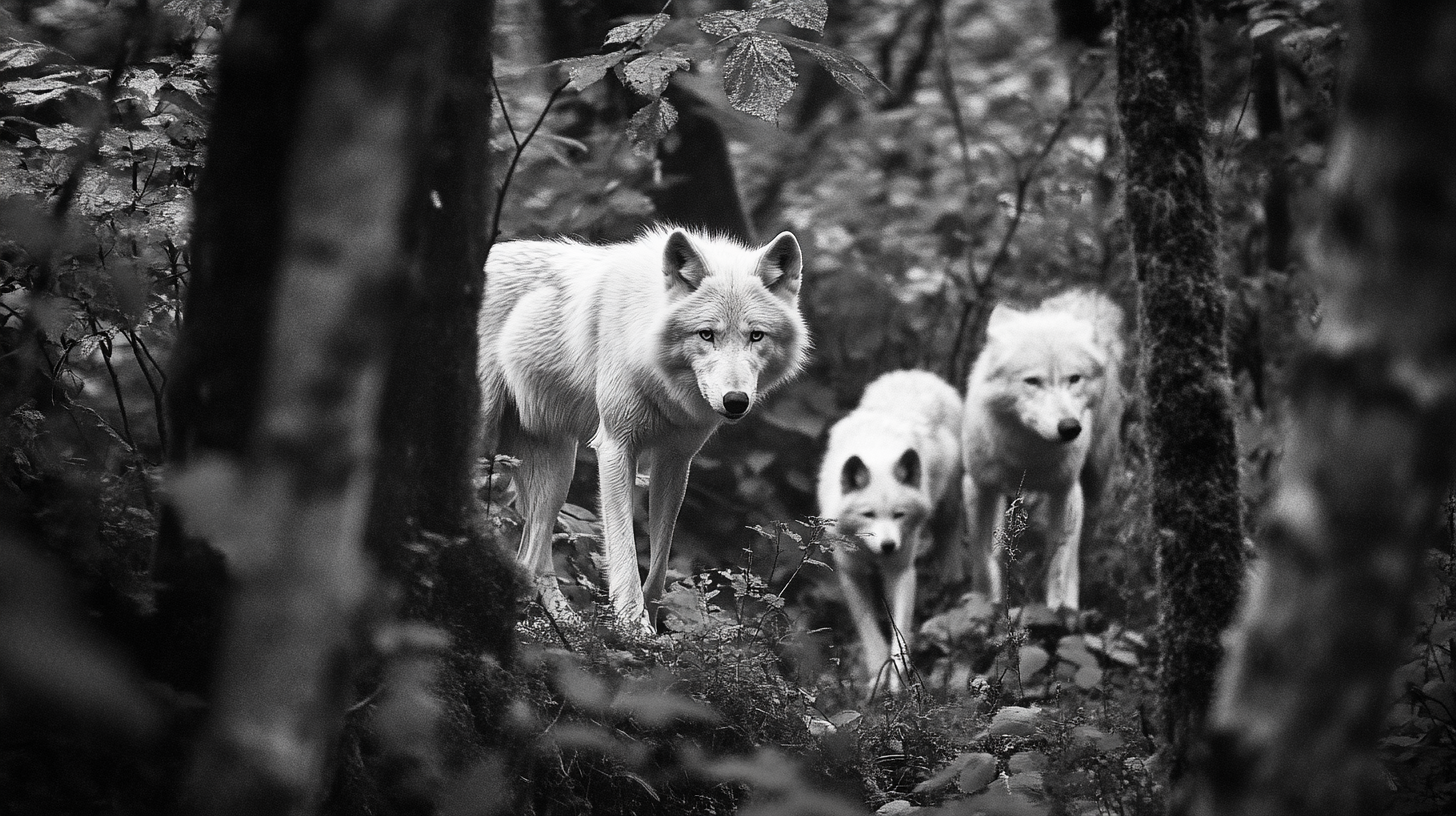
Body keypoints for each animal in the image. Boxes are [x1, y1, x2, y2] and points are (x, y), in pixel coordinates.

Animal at [483, 224, 815, 632]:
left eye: (756, 335)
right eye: (707, 334)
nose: (735, 401)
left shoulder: (675, 460)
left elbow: (659, 561)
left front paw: (653, 628)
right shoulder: (615, 448)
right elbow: (624, 548)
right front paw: (633, 624)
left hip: (557, 471)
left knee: (531, 556)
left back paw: (560, 622)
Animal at [821, 371, 966, 693]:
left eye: (899, 514)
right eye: (868, 515)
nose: (888, 546)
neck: (878, 451)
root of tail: (918, 374)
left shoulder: (900, 571)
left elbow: (899, 632)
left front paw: (898, 680)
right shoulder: (851, 573)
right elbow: (869, 630)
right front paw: (877, 677)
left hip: (948, 506)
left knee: (950, 537)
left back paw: (951, 583)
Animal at [966, 289, 1124, 609]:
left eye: (1074, 378)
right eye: (1032, 381)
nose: (1070, 428)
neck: (1029, 456)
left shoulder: (1066, 490)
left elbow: (1061, 564)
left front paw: (1062, 609)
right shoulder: (978, 487)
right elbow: (983, 558)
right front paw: (986, 602)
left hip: (1096, 478)